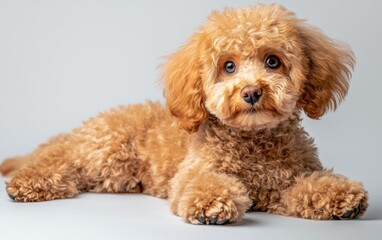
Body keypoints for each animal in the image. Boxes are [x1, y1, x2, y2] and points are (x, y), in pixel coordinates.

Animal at [0, 3, 370, 225]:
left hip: (113, 174)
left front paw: (340, 196)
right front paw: (213, 203)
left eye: (273, 61)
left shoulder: (287, 182)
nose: (251, 92)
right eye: (228, 66)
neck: (253, 143)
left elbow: (308, 186)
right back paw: (28, 182)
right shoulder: (191, 174)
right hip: (102, 153)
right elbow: (202, 183)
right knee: (59, 158)